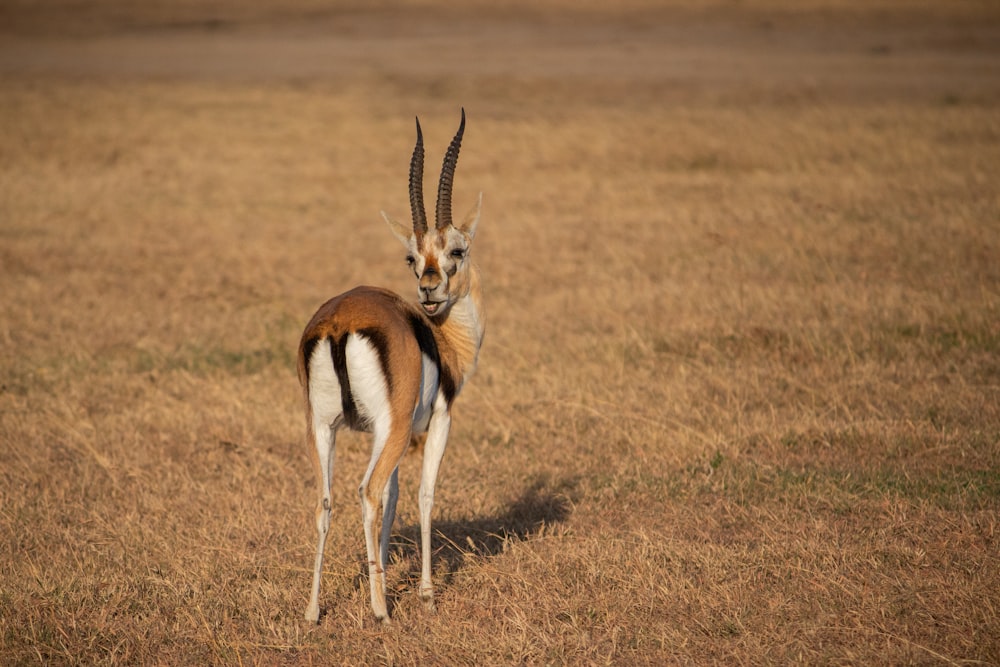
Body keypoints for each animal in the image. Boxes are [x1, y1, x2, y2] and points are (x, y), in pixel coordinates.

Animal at [296, 111, 484, 628]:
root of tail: (339, 323)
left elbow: (395, 498)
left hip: (322, 427)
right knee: (367, 491)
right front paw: (425, 594)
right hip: (388, 428)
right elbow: (423, 495)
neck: (441, 341)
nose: (429, 289)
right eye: (412, 256)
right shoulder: (435, 422)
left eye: (455, 250)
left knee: (325, 503)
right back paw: (380, 611)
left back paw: (313, 611)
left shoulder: (386, 435)